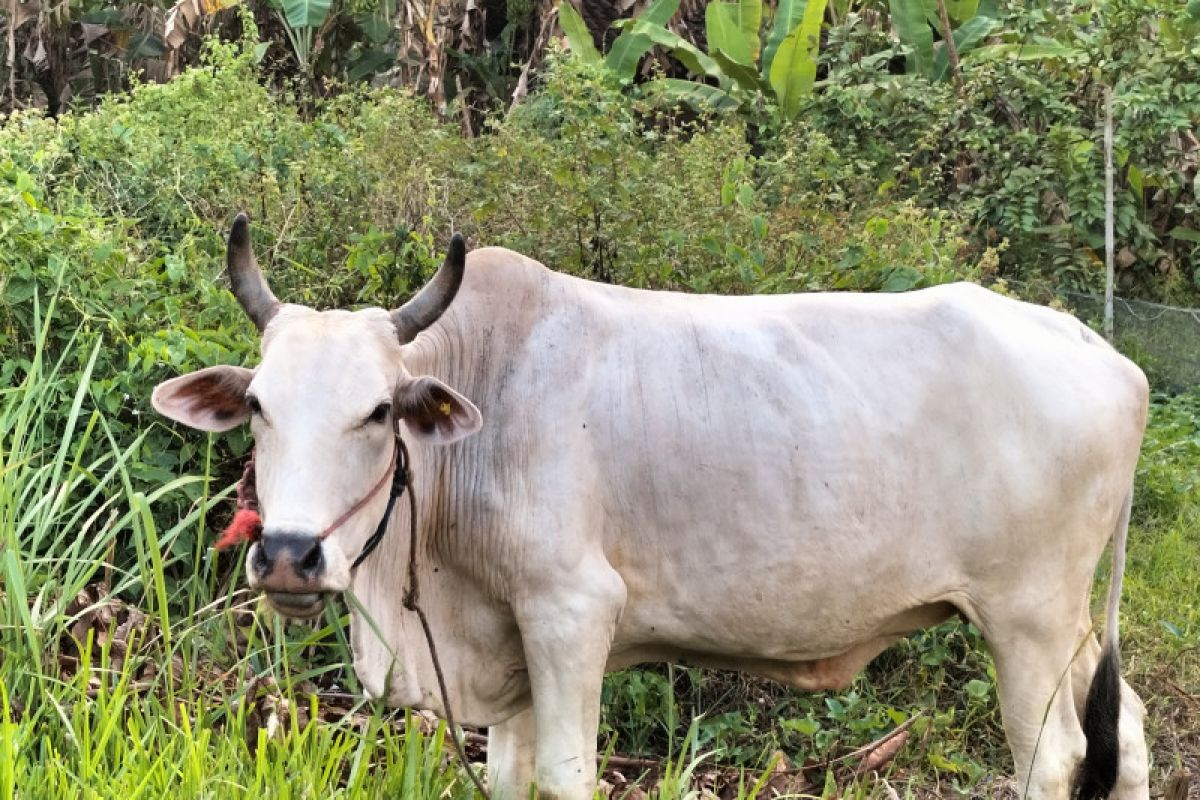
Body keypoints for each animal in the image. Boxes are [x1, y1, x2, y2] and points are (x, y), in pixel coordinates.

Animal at [154, 215, 1147, 800]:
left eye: (375, 412)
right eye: (259, 407)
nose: (289, 555)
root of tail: (1099, 349)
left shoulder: (571, 612)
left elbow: (566, 775)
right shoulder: (509, 645)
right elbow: (510, 776)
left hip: (1025, 621)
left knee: (1053, 760)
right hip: (1067, 629)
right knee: (1126, 734)